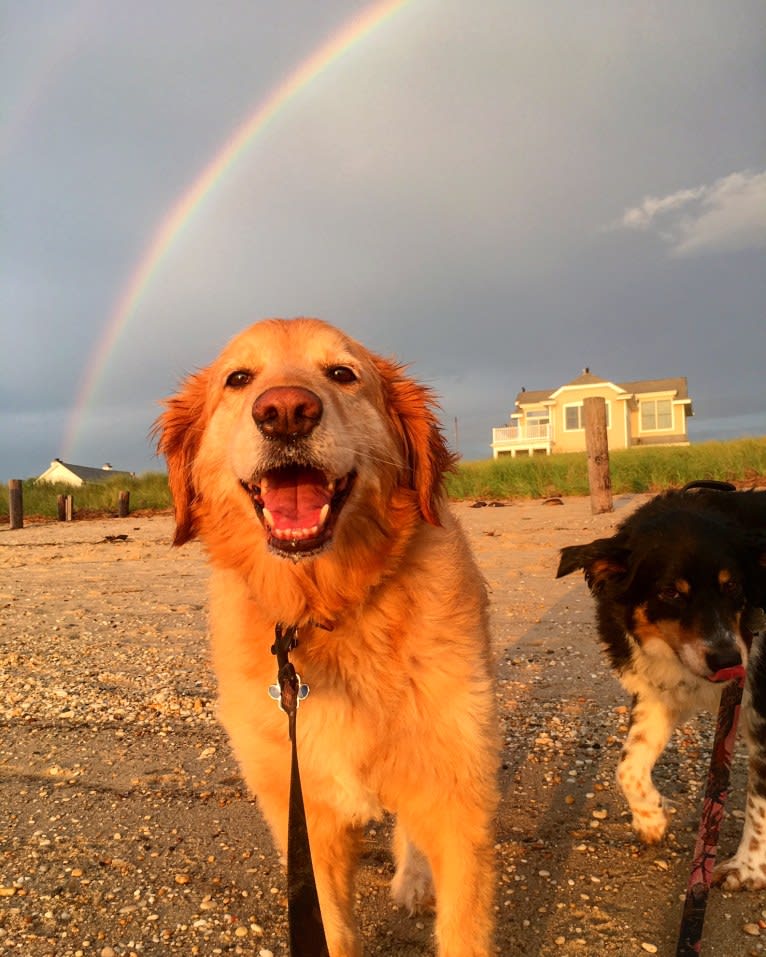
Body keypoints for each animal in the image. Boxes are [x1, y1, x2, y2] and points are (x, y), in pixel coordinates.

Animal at [158, 318, 504, 952]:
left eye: (343, 373)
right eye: (238, 379)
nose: (285, 412)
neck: (327, 610)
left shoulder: (456, 797)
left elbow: (463, 927)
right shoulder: (305, 819)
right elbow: (332, 928)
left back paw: (413, 880)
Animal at [560, 486, 766, 888]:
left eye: (733, 585)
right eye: (670, 593)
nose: (728, 660)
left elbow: (760, 805)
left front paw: (749, 868)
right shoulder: (658, 692)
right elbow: (628, 765)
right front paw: (650, 817)